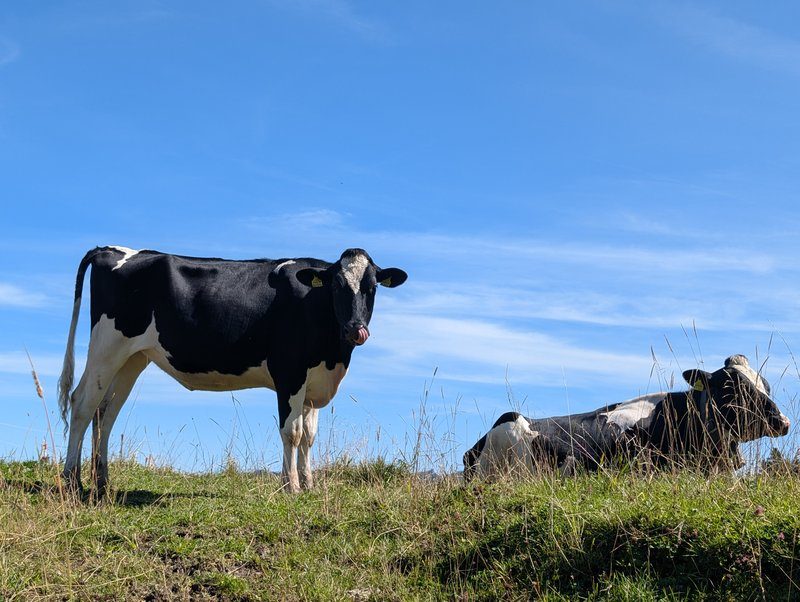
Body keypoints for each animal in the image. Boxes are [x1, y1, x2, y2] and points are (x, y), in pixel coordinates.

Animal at [57, 246, 407, 495]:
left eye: (372, 288)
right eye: (336, 286)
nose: (355, 329)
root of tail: (112, 250)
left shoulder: (314, 381)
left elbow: (309, 436)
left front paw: (309, 485)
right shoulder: (289, 372)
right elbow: (291, 432)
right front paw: (290, 487)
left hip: (132, 358)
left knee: (105, 412)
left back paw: (102, 483)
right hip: (107, 346)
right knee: (82, 403)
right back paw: (73, 482)